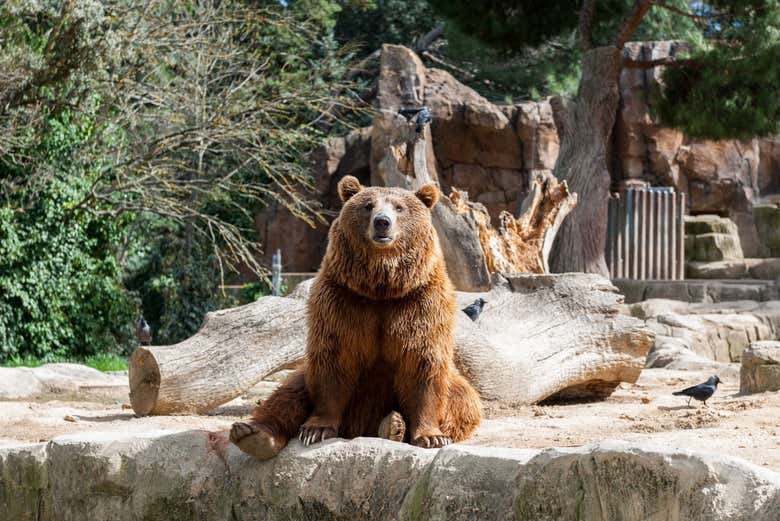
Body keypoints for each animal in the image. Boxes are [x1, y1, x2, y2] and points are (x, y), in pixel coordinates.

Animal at [227, 176, 482, 460]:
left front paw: (431, 436)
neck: (382, 288)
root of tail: (360, 427)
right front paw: (316, 430)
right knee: (289, 393)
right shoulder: (342, 302)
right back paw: (253, 434)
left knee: (462, 399)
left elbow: (422, 363)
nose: (382, 222)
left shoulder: (419, 302)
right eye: (368, 205)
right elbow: (334, 360)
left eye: (399, 207)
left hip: (455, 386)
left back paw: (393, 425)